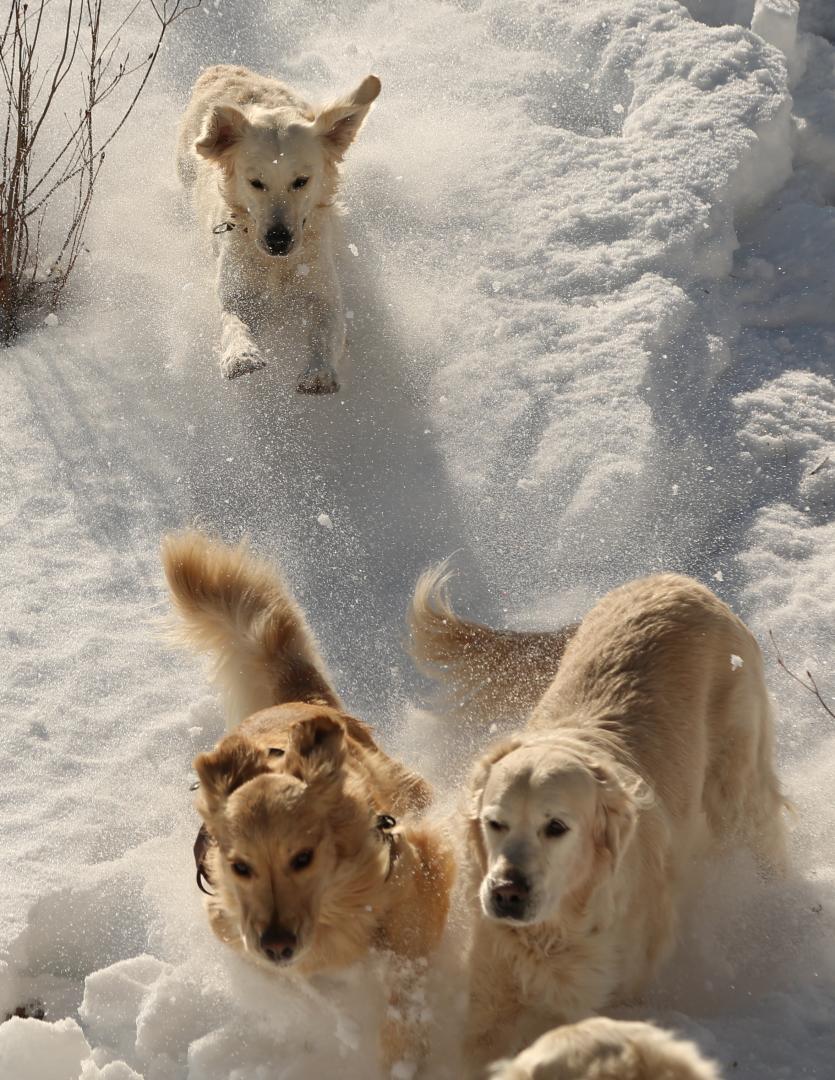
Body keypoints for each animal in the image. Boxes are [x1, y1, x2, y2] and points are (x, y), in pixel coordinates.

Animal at [160, 533, 453, 1080]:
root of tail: (300, 702)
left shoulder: (419, 868)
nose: (277, 943)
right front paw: (332, 1011)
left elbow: (404, 975)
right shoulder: (230, 922)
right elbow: (298, 983)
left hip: (411, 789)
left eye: (303, 858)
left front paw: (401, 1054)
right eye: (241, 867)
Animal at [180, 65, 382, 393]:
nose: (278, 240)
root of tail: (222, 69)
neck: (277, 264)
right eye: (255, 182)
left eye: (301, 181)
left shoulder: (322, 287)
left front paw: (318, 373)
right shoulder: (237, 288)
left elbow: (326, 325)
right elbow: (233, 321)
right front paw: (241, 356)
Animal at [410, 570, 786, 1067]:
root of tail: (674, 579)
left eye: (556, 827)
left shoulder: (621, 990)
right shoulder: (491, 998)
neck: (558, 931)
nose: (507, 893)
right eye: (495, 823)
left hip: (736, 789)